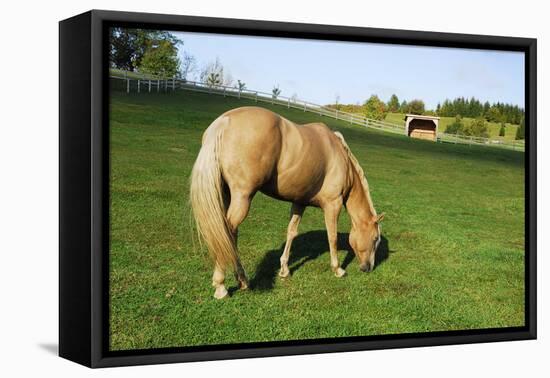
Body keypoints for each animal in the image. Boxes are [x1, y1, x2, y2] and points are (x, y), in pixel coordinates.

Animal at [192, 105, 386, 298]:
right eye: (375, 238)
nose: (368, 268)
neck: (342, 161)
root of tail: (224, 122)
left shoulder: (300, 202)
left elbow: (291, 232)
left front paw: (284, 269)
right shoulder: (333, 205)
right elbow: (332, 237)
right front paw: (338, 269)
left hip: (225, 194)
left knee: (228, 235)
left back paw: (242, 280)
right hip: (242, 197)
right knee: (227, 232)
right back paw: (221, 286)